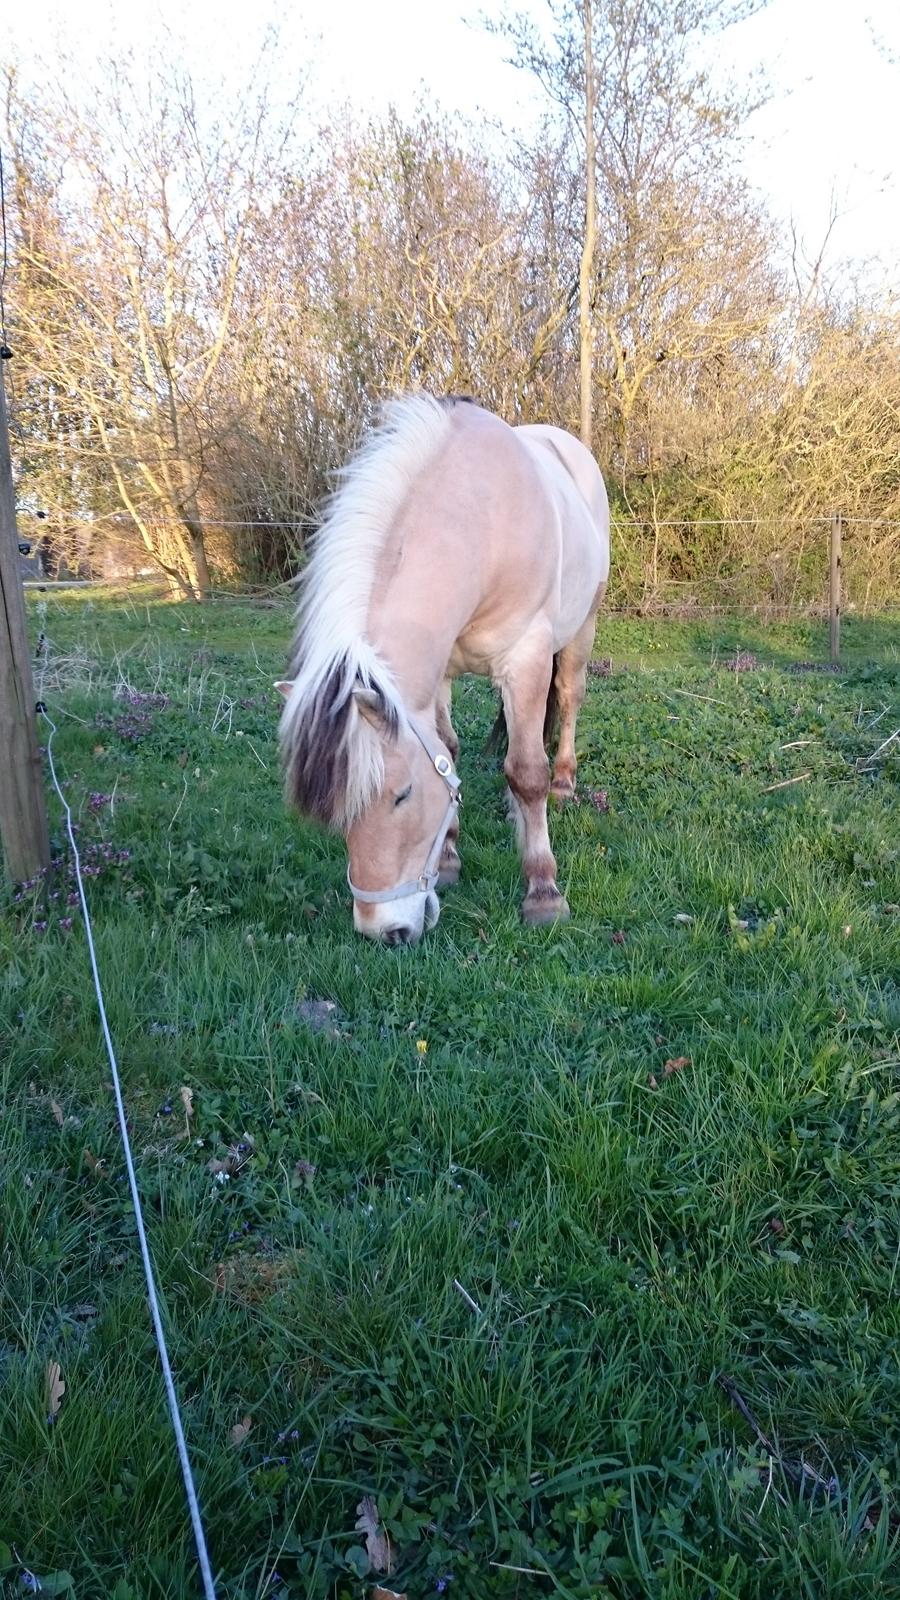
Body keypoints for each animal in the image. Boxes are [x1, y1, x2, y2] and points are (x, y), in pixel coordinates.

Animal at [275, 393, 608, 940]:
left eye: (402, 796)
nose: (383, 931)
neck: (480, 523)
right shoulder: (437, 677)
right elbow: (448, 751)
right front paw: (450, 858)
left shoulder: (527, 657)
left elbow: (526, 772)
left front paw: (543, 892)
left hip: (581, 630)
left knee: (567, 700)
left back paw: (562, 783)